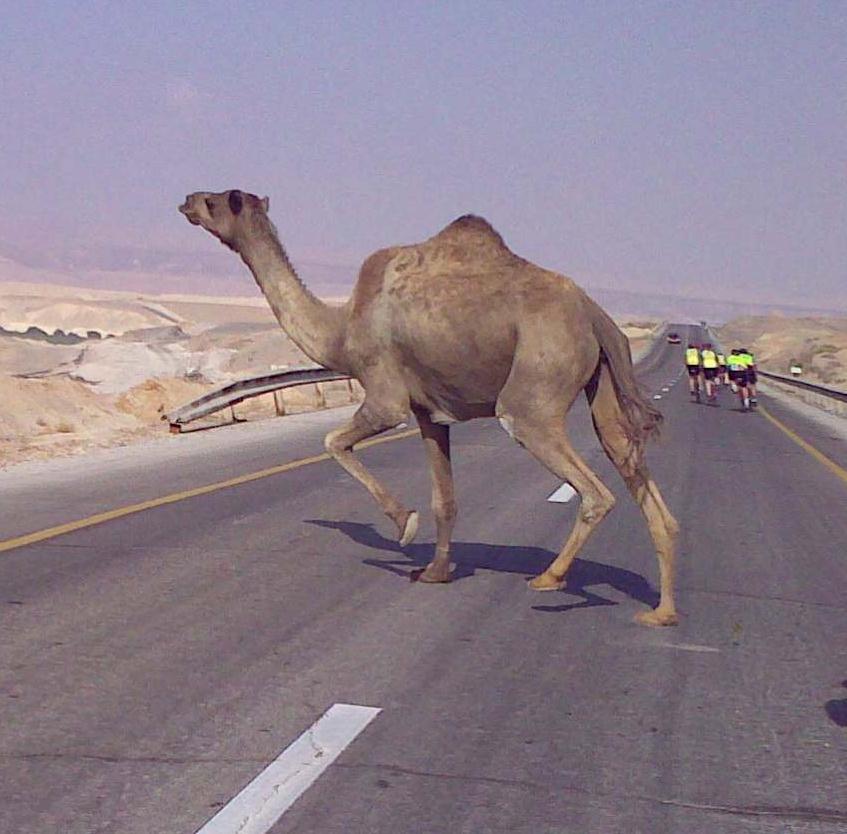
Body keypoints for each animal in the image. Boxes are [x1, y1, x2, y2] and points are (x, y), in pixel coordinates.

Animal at [179, 189, 680, 626]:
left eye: (217, 201)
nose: (186, 201)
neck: (342, 328)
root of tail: (595, 315)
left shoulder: (387, 396)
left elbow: (334, 442)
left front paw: (404, 523)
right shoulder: (429, 413)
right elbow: (445, 500)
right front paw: (436, 572)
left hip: (534, 387)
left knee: (590, 487)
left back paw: (550, 578)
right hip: (604, 385)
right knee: (627, 457)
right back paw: (661, 613)